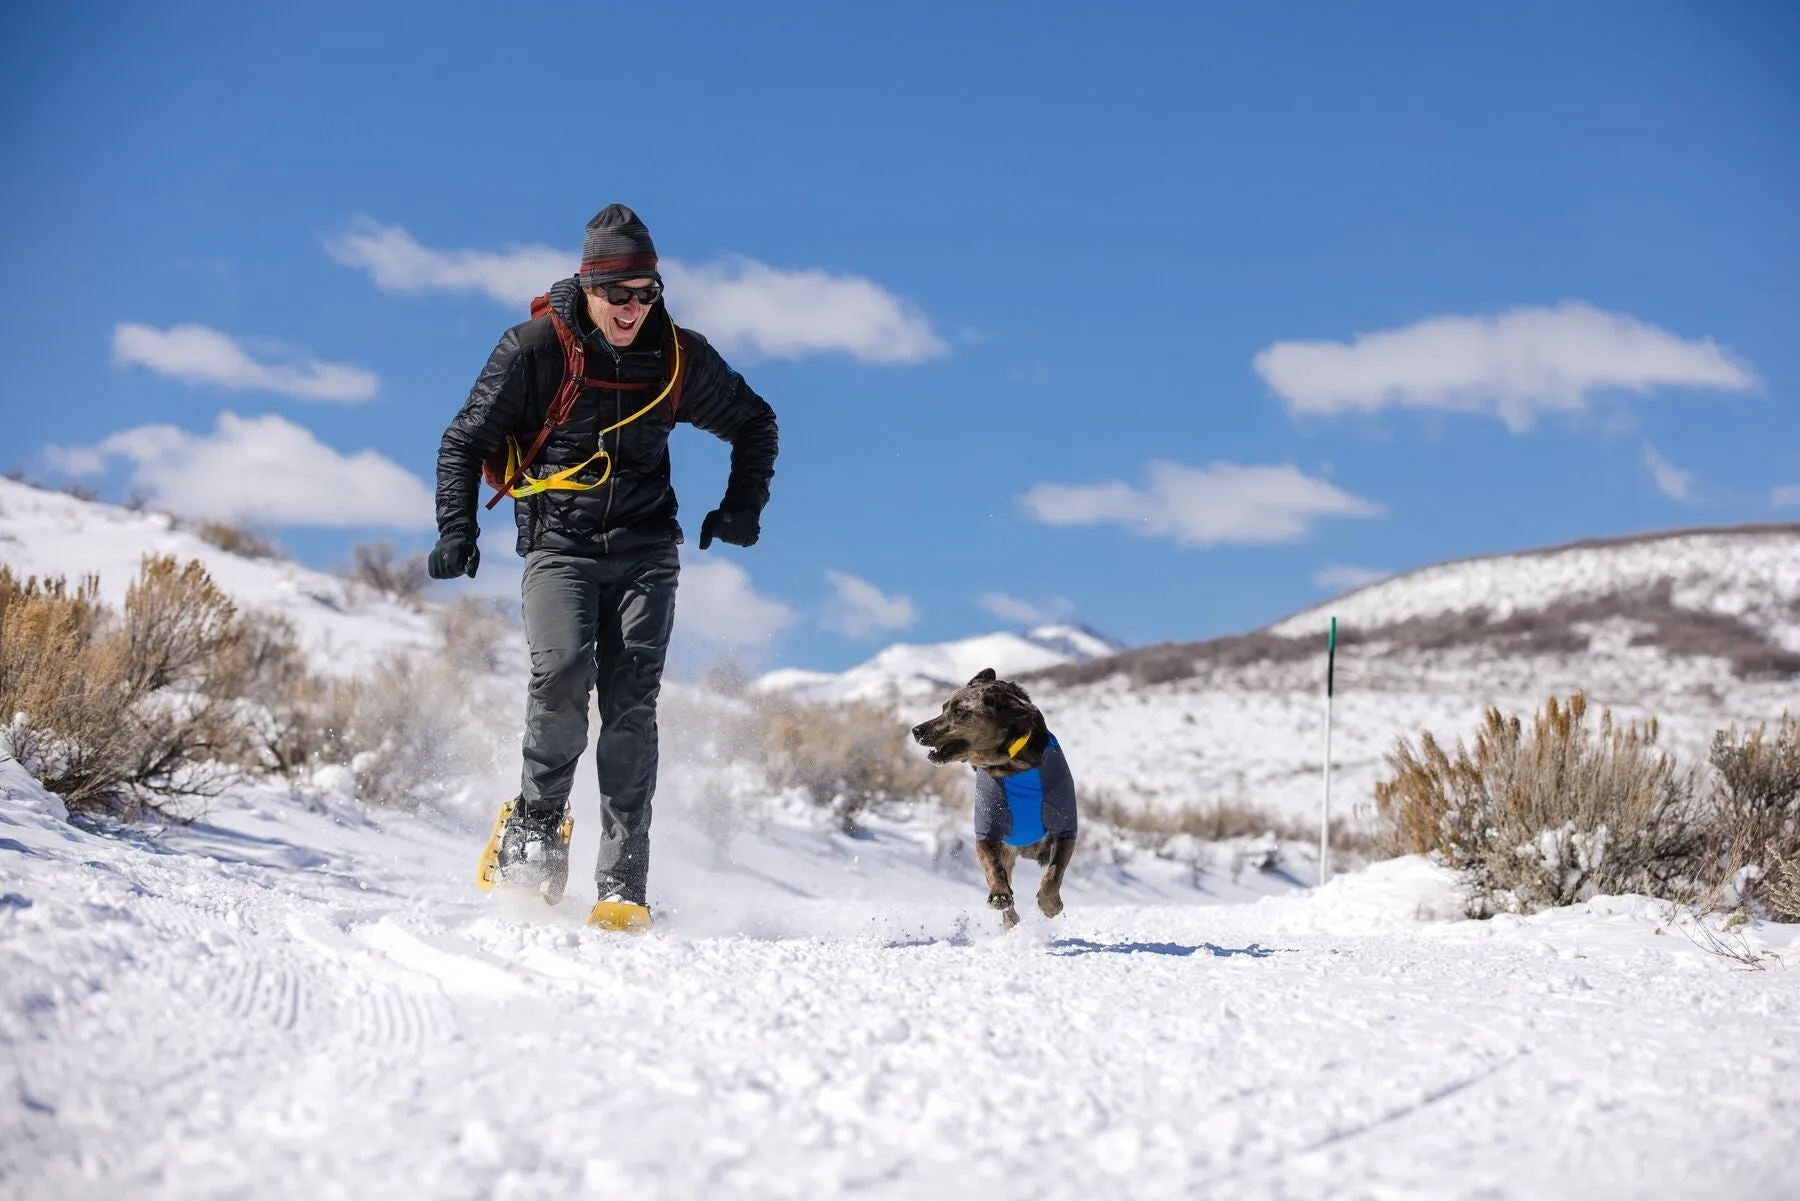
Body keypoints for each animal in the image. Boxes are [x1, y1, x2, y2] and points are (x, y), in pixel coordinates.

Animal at [907, 666, 1072, 929]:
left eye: (959, 712)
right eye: (943, 708)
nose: (916, 730)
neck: (1012, 766)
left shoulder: (1065, 827)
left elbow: (1054, 871)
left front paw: (1050, 904)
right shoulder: (987, 830)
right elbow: (994, 867)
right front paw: (1000, 896)